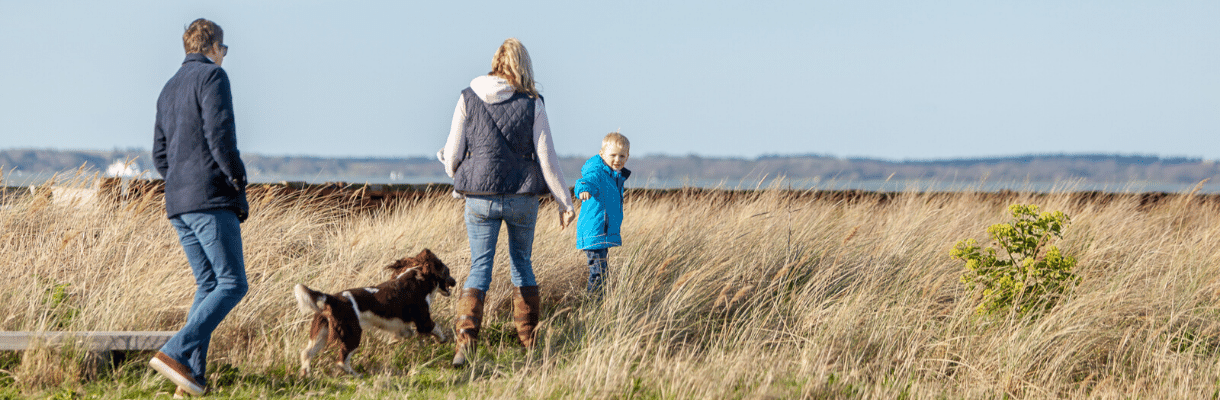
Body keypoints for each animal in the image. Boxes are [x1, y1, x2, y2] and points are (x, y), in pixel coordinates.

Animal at [294, 248, 458, 375]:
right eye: (447, 271)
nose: (455, 282)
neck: (418, 279)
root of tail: (331, 298)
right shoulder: (423, 319)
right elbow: (436, 328)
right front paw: (443, 340)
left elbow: (406, 333)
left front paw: (394, 341)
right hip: (352, 333)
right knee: (341, 361)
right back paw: (356, 375)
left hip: (321, 332)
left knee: (306, 353)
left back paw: (305, 375)